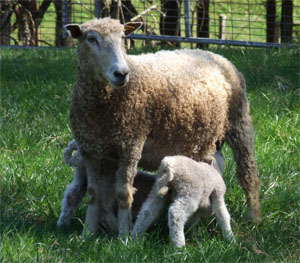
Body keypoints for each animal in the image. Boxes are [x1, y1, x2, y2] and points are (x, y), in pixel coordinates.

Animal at [65, 17, 260, 236]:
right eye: (91, 39)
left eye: (123, 37)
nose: (121, 73)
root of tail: (214, 54)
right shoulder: (90, 149)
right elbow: (93, 193)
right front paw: (87, 234)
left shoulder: (131, 146)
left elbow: (124, 194)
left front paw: (124, 236)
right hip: (205, 141)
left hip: (239, 121)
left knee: (248, 172)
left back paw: (254, 218)